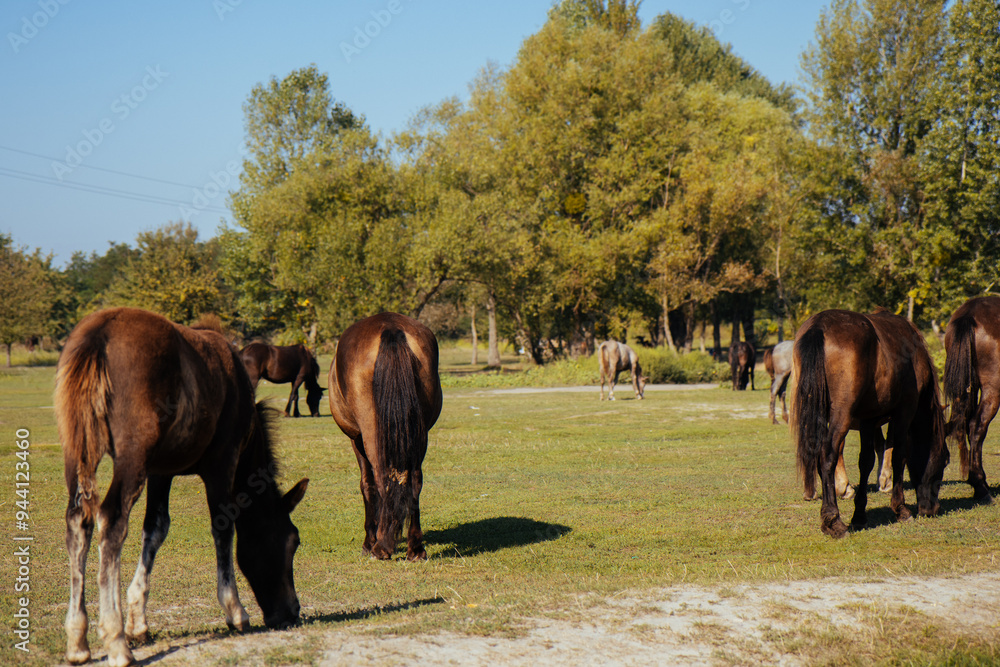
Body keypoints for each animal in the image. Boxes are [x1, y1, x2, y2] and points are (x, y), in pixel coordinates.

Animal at [55, 307, 309, 667]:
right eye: (293, 541)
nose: (291, 612)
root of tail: (98, 333)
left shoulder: (161, 472)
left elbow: (155, 530)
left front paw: (138, 620)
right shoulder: (222, 461)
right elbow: (223, 527)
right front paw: (234, 610)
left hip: (78, 453)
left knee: (79, 520)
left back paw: (78, 640)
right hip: (131, 456)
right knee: (111, 520)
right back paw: (115, 640)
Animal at [328, 312, 442, 561]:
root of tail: (390, 328)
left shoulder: (356, 439)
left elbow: (367, 485)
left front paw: (370, 541)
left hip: (371, 435)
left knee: (381, 477)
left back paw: (381, 547)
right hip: (418, 436)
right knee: (415, 479)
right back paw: (415, 548)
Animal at [791, 309, 949, 538]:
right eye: (945, 460)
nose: (932, 509)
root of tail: (819, 325)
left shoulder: (869, 419)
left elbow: (866, 461)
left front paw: (859, 514)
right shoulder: (904, 411)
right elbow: (899, 455)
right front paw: (900, 509)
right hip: (841, 415)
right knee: (827, 455)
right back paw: (833, 520)